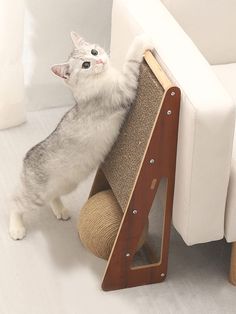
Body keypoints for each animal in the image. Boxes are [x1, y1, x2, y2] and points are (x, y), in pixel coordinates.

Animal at [8, 30, 153, 239]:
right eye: (86, 65)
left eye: (93, 52)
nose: (99, 61)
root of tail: (27, 157)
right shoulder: (124, 89)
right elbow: (131, 60)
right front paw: (142, 39)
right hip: (36, 195)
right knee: (15, 203)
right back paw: (16, 227)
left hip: (65, 185)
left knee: (52, 196)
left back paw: (60, 210)